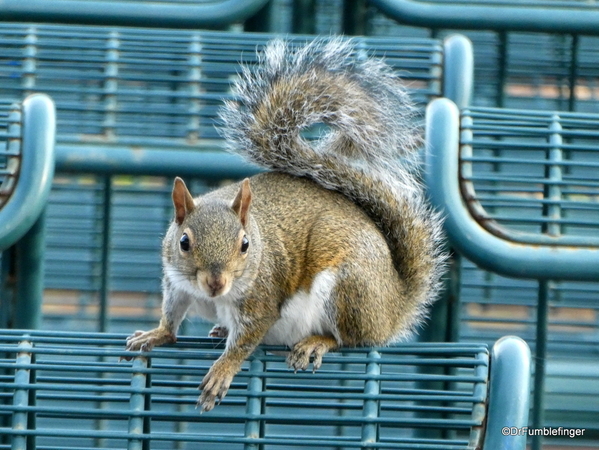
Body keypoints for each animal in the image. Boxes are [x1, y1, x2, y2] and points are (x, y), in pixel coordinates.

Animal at [125, 37, 446, 412]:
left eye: (245, 244)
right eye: (184, 242)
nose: (216, 283)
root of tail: (393, 306)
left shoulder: (261, 300)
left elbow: (246, 340)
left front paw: (223, 370)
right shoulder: (176, 283)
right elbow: (171, 315)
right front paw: (156, 333)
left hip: (347, 289)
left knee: (352, 339)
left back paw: (316, 342)